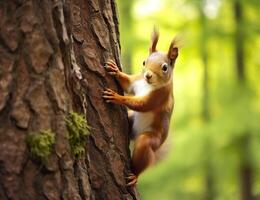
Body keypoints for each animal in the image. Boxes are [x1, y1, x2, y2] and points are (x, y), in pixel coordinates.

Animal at [102, 28, 178, 187]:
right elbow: (127, 84)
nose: (148, 75)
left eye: (165, 68)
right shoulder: (136, 82)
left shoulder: (159, 96)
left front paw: (117, 97)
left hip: (151, 140)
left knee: (144, 151)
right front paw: (115, 70)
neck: (147, 85)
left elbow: (142, 105)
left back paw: (135, 175)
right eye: (144, 62)